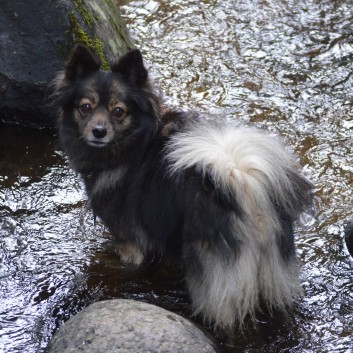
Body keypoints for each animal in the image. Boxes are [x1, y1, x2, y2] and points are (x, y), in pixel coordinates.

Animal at [51, 44, 312, 330]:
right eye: (86, 107)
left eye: (118, 111)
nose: (98, 131)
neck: (136, 141)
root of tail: (244, 185)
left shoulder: (128, 240)